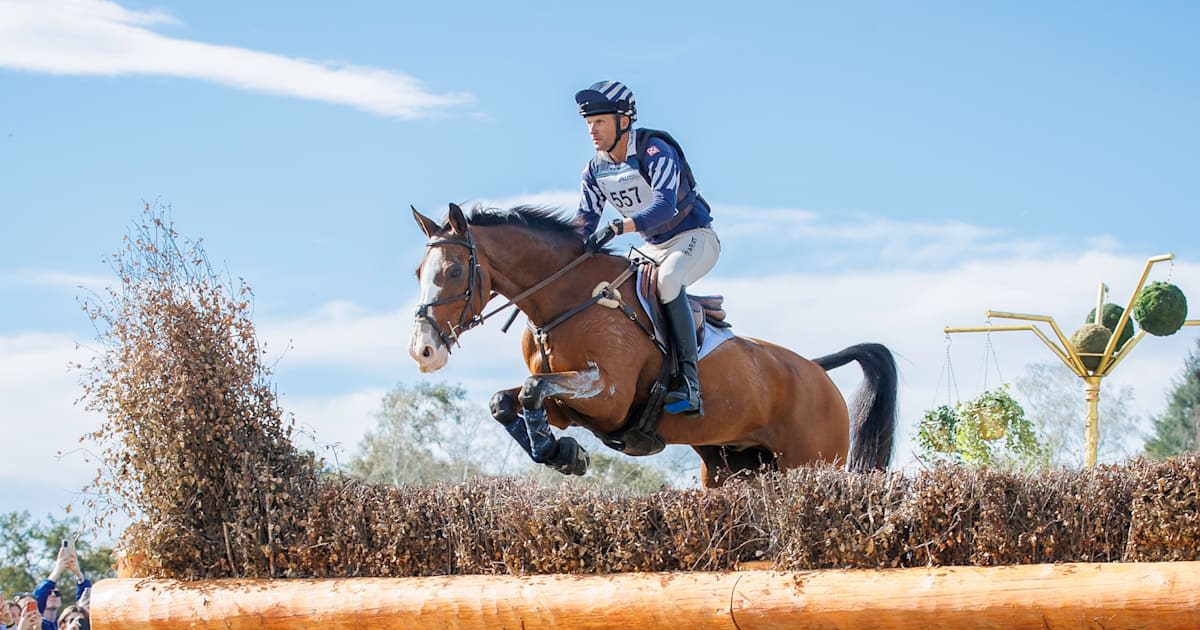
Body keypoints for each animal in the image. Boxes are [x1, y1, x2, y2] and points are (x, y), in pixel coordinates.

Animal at [408, 202, 897, 487]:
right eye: (418, 272)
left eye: (454, 271)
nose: (423, 351)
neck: (564, 300)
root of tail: (815, 370)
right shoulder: (568, 405)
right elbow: (507, 400)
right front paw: (563, 453)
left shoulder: (608, 395)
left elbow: (531, 390)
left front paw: (563, 454)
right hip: (734, 468)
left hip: (810, 464)